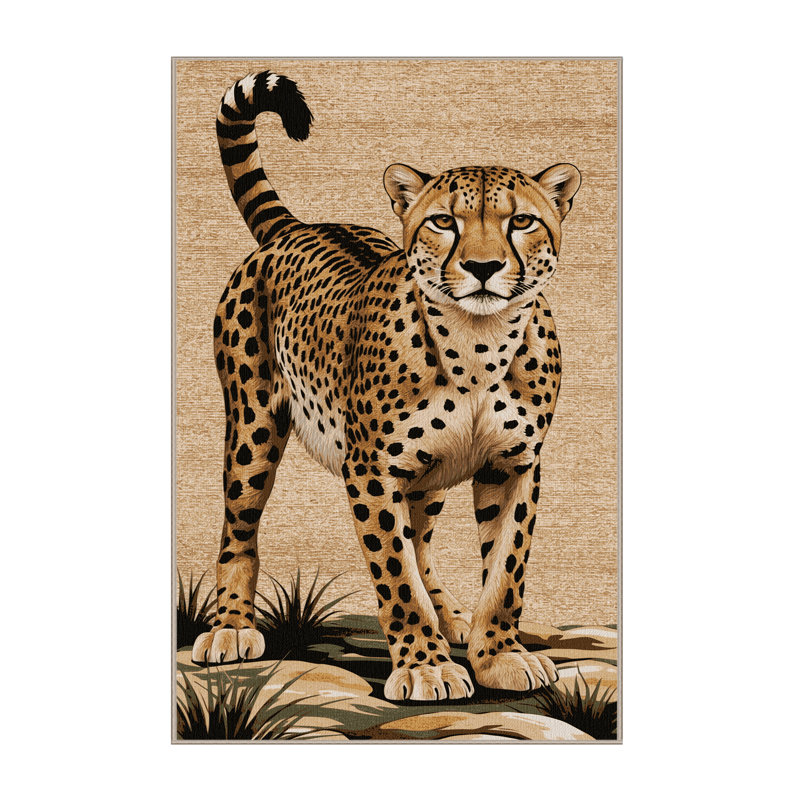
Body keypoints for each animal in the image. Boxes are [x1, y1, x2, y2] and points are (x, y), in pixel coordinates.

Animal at [191, 70, 581, 702]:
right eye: (443, 222)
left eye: (521, 221)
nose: (483, 267)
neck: (478, 344)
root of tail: (299, 227)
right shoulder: (371, 470)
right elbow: (394, 573)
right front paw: (424, 666)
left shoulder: (513, 463)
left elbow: (505, 570)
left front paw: (497, 654)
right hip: (252, 425)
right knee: (239, 528)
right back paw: (230, 627)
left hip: (428, 474)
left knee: (420, 539)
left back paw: (449, 617)